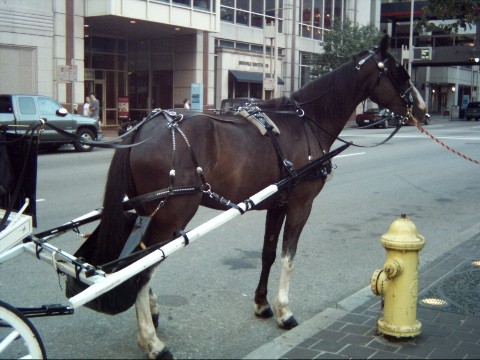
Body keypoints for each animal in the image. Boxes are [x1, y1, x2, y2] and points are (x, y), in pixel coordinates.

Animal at [89, 37, 424, 360]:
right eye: (400, 73)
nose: (422, 110)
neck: (306, 123)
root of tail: (143, 128)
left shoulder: (277, 205)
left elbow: (268, 254)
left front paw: (262, 304)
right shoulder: (301, 203)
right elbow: (289, 257)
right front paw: (284, 311)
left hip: (149, 213)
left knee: (139, 263)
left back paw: (152, 314)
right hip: (172, 215)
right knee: (142, 269)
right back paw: (151, 341)